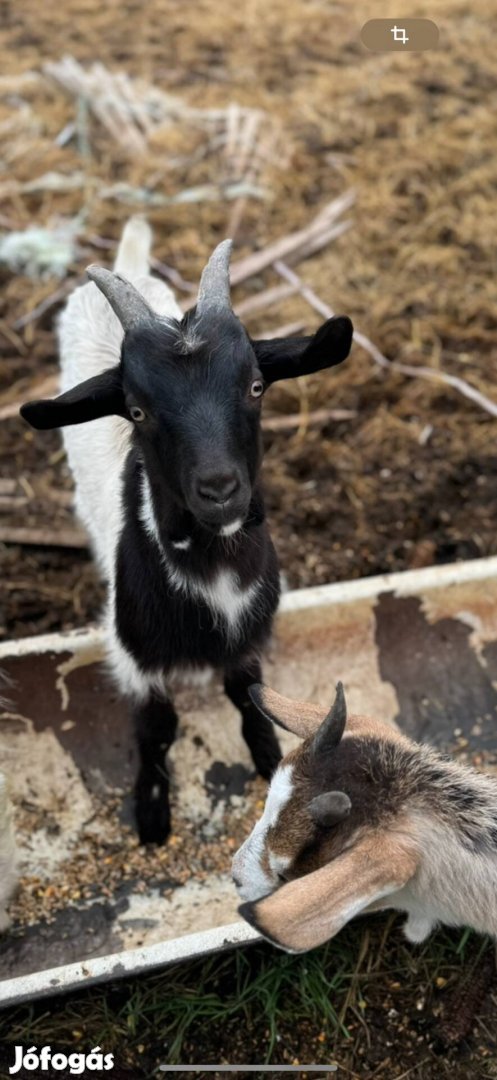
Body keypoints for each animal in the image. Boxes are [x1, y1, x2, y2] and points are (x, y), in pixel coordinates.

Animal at [20, 219, 354, 842]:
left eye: (255, 385)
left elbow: (248, 697)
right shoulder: (134, 652)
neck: (214, 570)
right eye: (136, 410)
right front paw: (152, 814)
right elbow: (157, 725)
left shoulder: (249, 637)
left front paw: (270, 760)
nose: (220, 488)